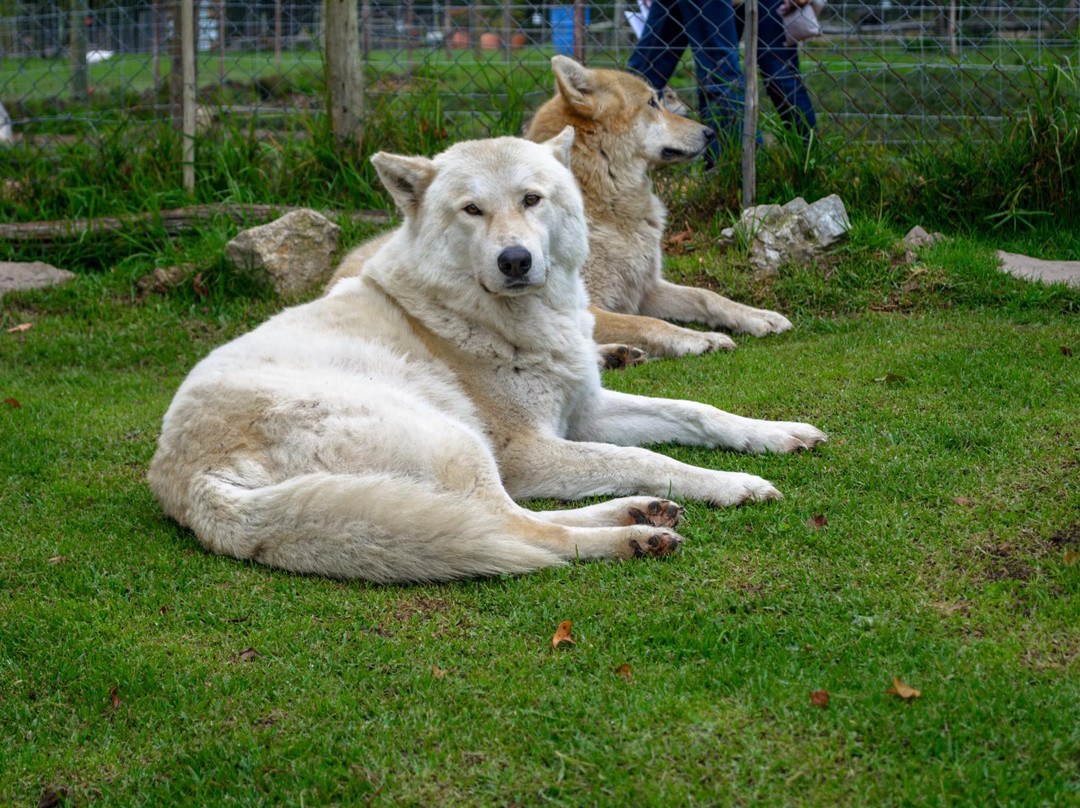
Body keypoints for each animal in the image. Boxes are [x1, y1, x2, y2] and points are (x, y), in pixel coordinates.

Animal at [147, 133, 825, 587]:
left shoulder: (584, 412)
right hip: (458, 442)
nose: (515, 261)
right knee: (515, 530)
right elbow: (647, 458)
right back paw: (636, 535)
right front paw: (733, 484)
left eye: (532, 199)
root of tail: (183, 479)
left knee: (510, 519)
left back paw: (638, 511)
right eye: (471, 209)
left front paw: (776, 434)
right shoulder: (528, 450)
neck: (502, 319)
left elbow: (696, 411)